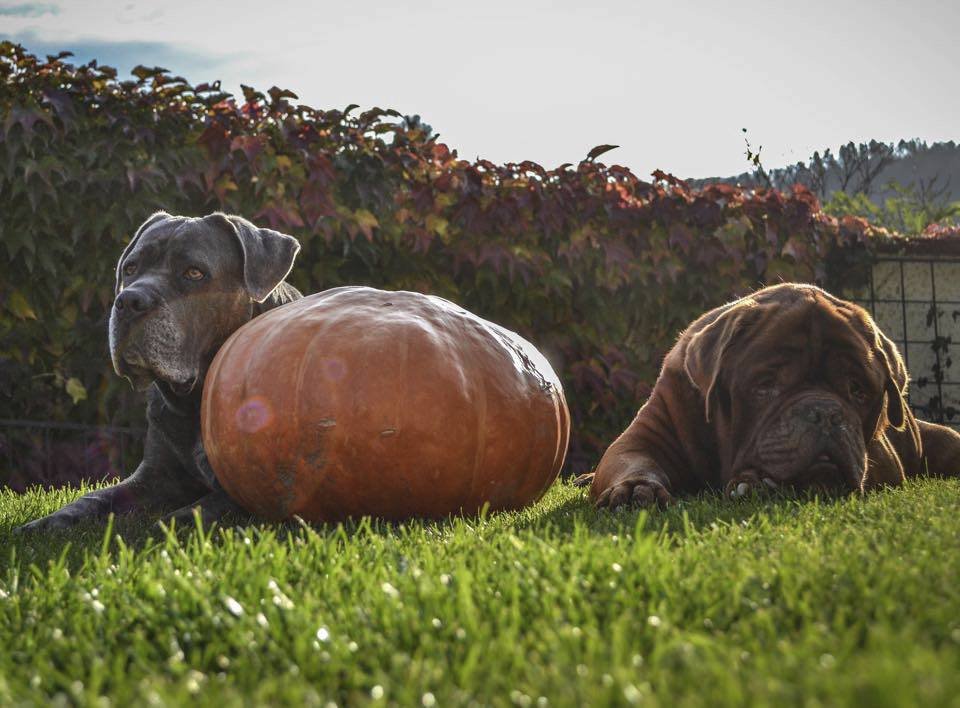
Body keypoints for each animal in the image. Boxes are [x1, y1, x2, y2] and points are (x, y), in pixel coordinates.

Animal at [18, 210, 304, 532]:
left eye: (194, 273)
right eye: (130, 268)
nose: (129, 301)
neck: (194, 400)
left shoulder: (261, 484)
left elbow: (210, 506)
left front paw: (166, 527)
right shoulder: (153, 476)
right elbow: (94, 497)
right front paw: (47, 522)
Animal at [580, 282, 960, 508]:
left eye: (858, 391)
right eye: (765, 386)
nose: (825, 413)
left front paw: (755, 482)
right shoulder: (644, 436)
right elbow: (634, 462)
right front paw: (634, 491)